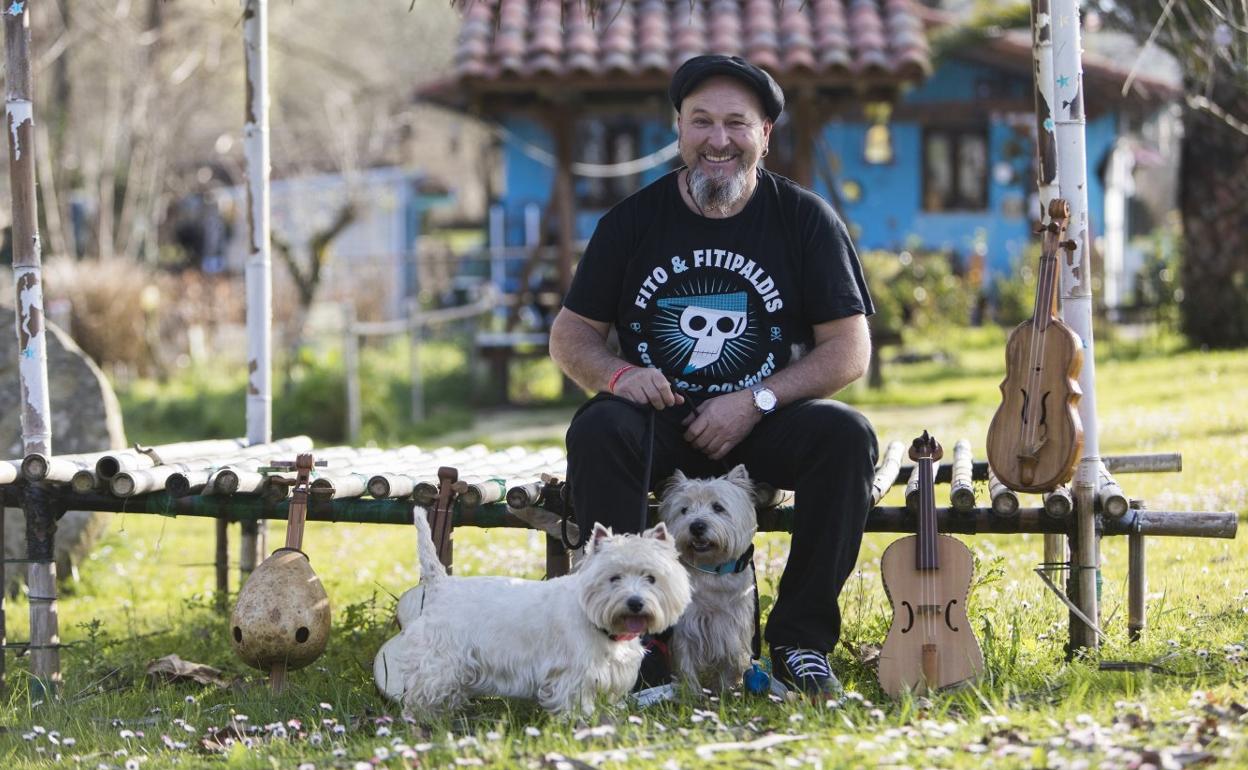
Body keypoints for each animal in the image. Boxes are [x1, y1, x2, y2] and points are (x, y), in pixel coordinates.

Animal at [369, 511, 693, 713]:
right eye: (614, 578)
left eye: (651, 578)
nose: (635, 603)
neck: (598, 622)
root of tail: (439, 586)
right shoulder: (572, 675)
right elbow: (576, 705)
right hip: (440, 661)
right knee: (419, 697)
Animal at [663, 461, 758, 688]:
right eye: (684, 510)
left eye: (718, 507)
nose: (697, 526)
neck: (711, 569)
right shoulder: (686, 625)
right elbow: (685, 660)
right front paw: (691, 691)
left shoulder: (732, 627)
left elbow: (729, 661)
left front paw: (726, 689)